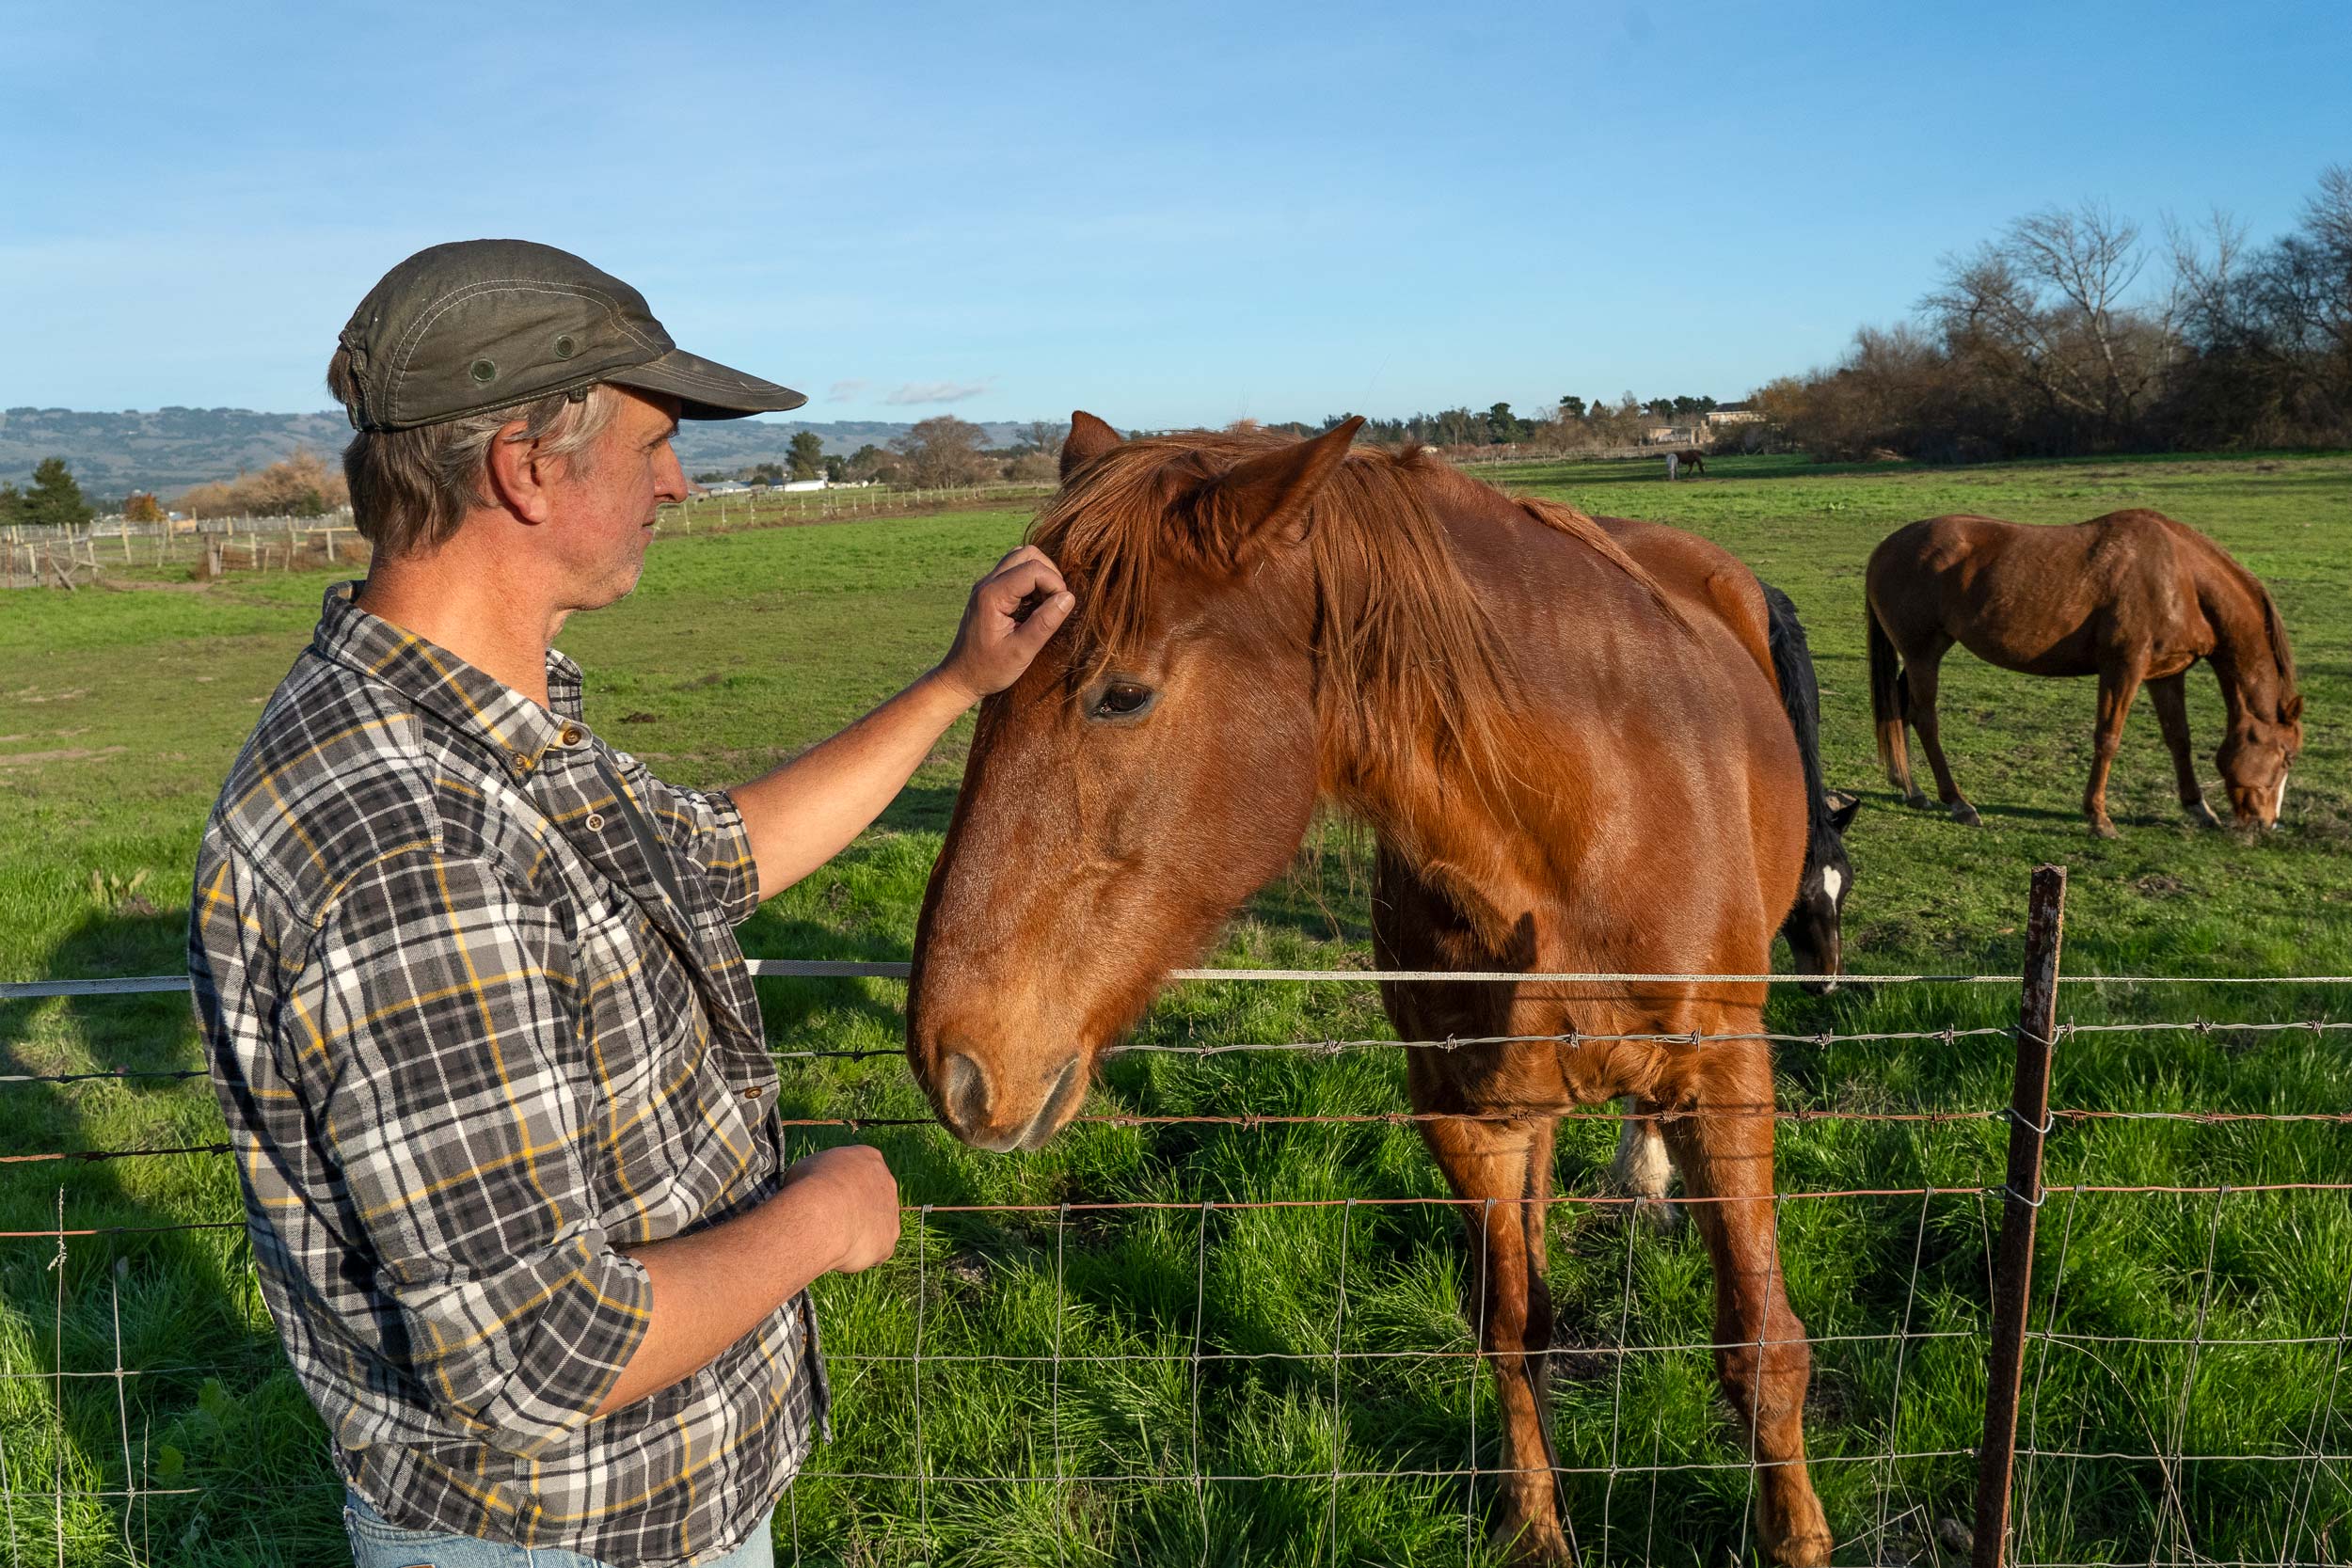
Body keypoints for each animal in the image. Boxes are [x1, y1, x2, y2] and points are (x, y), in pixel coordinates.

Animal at [907, 413, 1833, 1564]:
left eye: (1121, 694)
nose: (953, 1061)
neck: (1583, 822)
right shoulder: (1465, 1112)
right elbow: (1511, 1325)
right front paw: (1535, 1527)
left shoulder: (1727, 1080)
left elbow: (1761, 1348)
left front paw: (1797, 1536)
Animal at [1865, 510, 2303, 838]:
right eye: (2287, 757)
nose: (2267, 823)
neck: (2180, 576)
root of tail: (1885, 548)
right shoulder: (2123, 668)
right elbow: (2107, 738)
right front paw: (2098, 817)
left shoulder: (2164, 674)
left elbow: (2179, 739)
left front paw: (2198, 808)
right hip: (1922, 654)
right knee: (1924, 718)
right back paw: (1957, 801)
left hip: (1924, 654)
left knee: (1899, 709)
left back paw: (1911, 789)